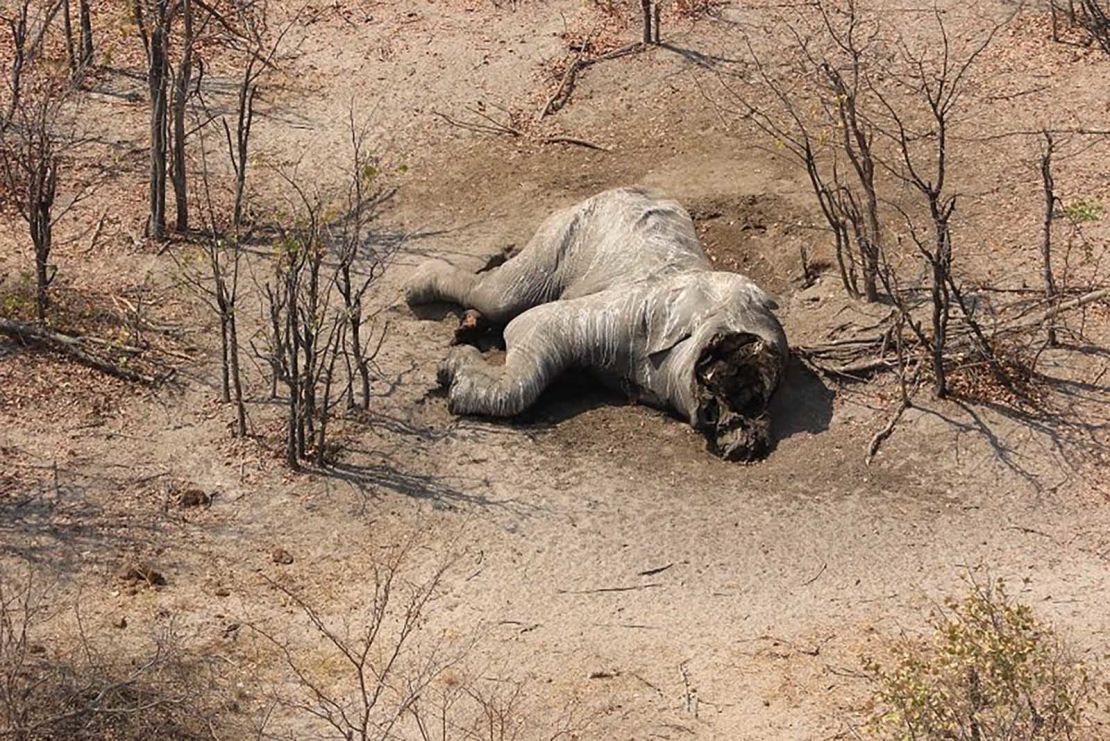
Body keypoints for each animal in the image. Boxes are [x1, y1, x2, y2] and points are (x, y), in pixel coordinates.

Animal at [408, 186, 790, 457]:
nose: (743, 410)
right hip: (570, 229)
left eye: (757, 392)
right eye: (729, 343)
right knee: (499, 296)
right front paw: (450, 371)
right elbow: (529, 326)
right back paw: (418, 286)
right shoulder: (629, 316)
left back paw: (467, 323)